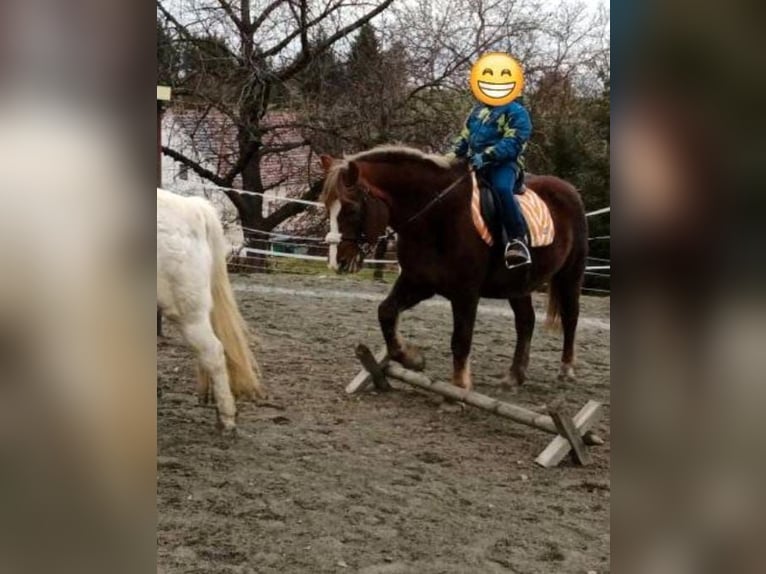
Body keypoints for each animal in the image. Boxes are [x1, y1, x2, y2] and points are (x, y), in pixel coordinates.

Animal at [319, 145, 587, 390]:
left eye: (352, 208)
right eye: (327, 207)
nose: (338, 261)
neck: (437, 215)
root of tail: (569, 189)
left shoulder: (465, 292)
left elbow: (460, 339)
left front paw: (459, 387)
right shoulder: (418, 282)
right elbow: (386, 312)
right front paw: (413, 358)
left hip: (570, 275)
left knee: (570, 316)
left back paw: (566, 370)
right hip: (518, 285)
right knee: (526, 322)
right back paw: (514, 376)